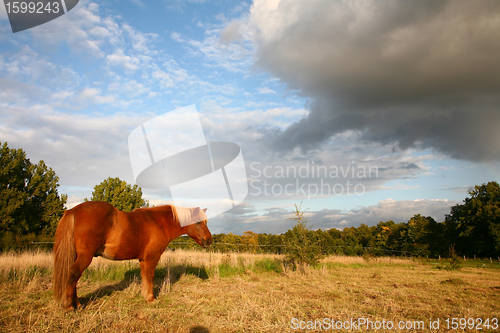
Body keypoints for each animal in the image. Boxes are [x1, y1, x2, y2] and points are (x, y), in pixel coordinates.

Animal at [51, 198, 212, 310]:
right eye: (199, 222)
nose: (209, 240)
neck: (158, 222)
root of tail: (73, 210)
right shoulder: (152, 258)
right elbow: (150, 277)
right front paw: (151, 299)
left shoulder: (143, 260)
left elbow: (145, 278)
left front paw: (145, 297)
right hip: (85, 257)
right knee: (73, 274)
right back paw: (69, 306)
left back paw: (77, 304)